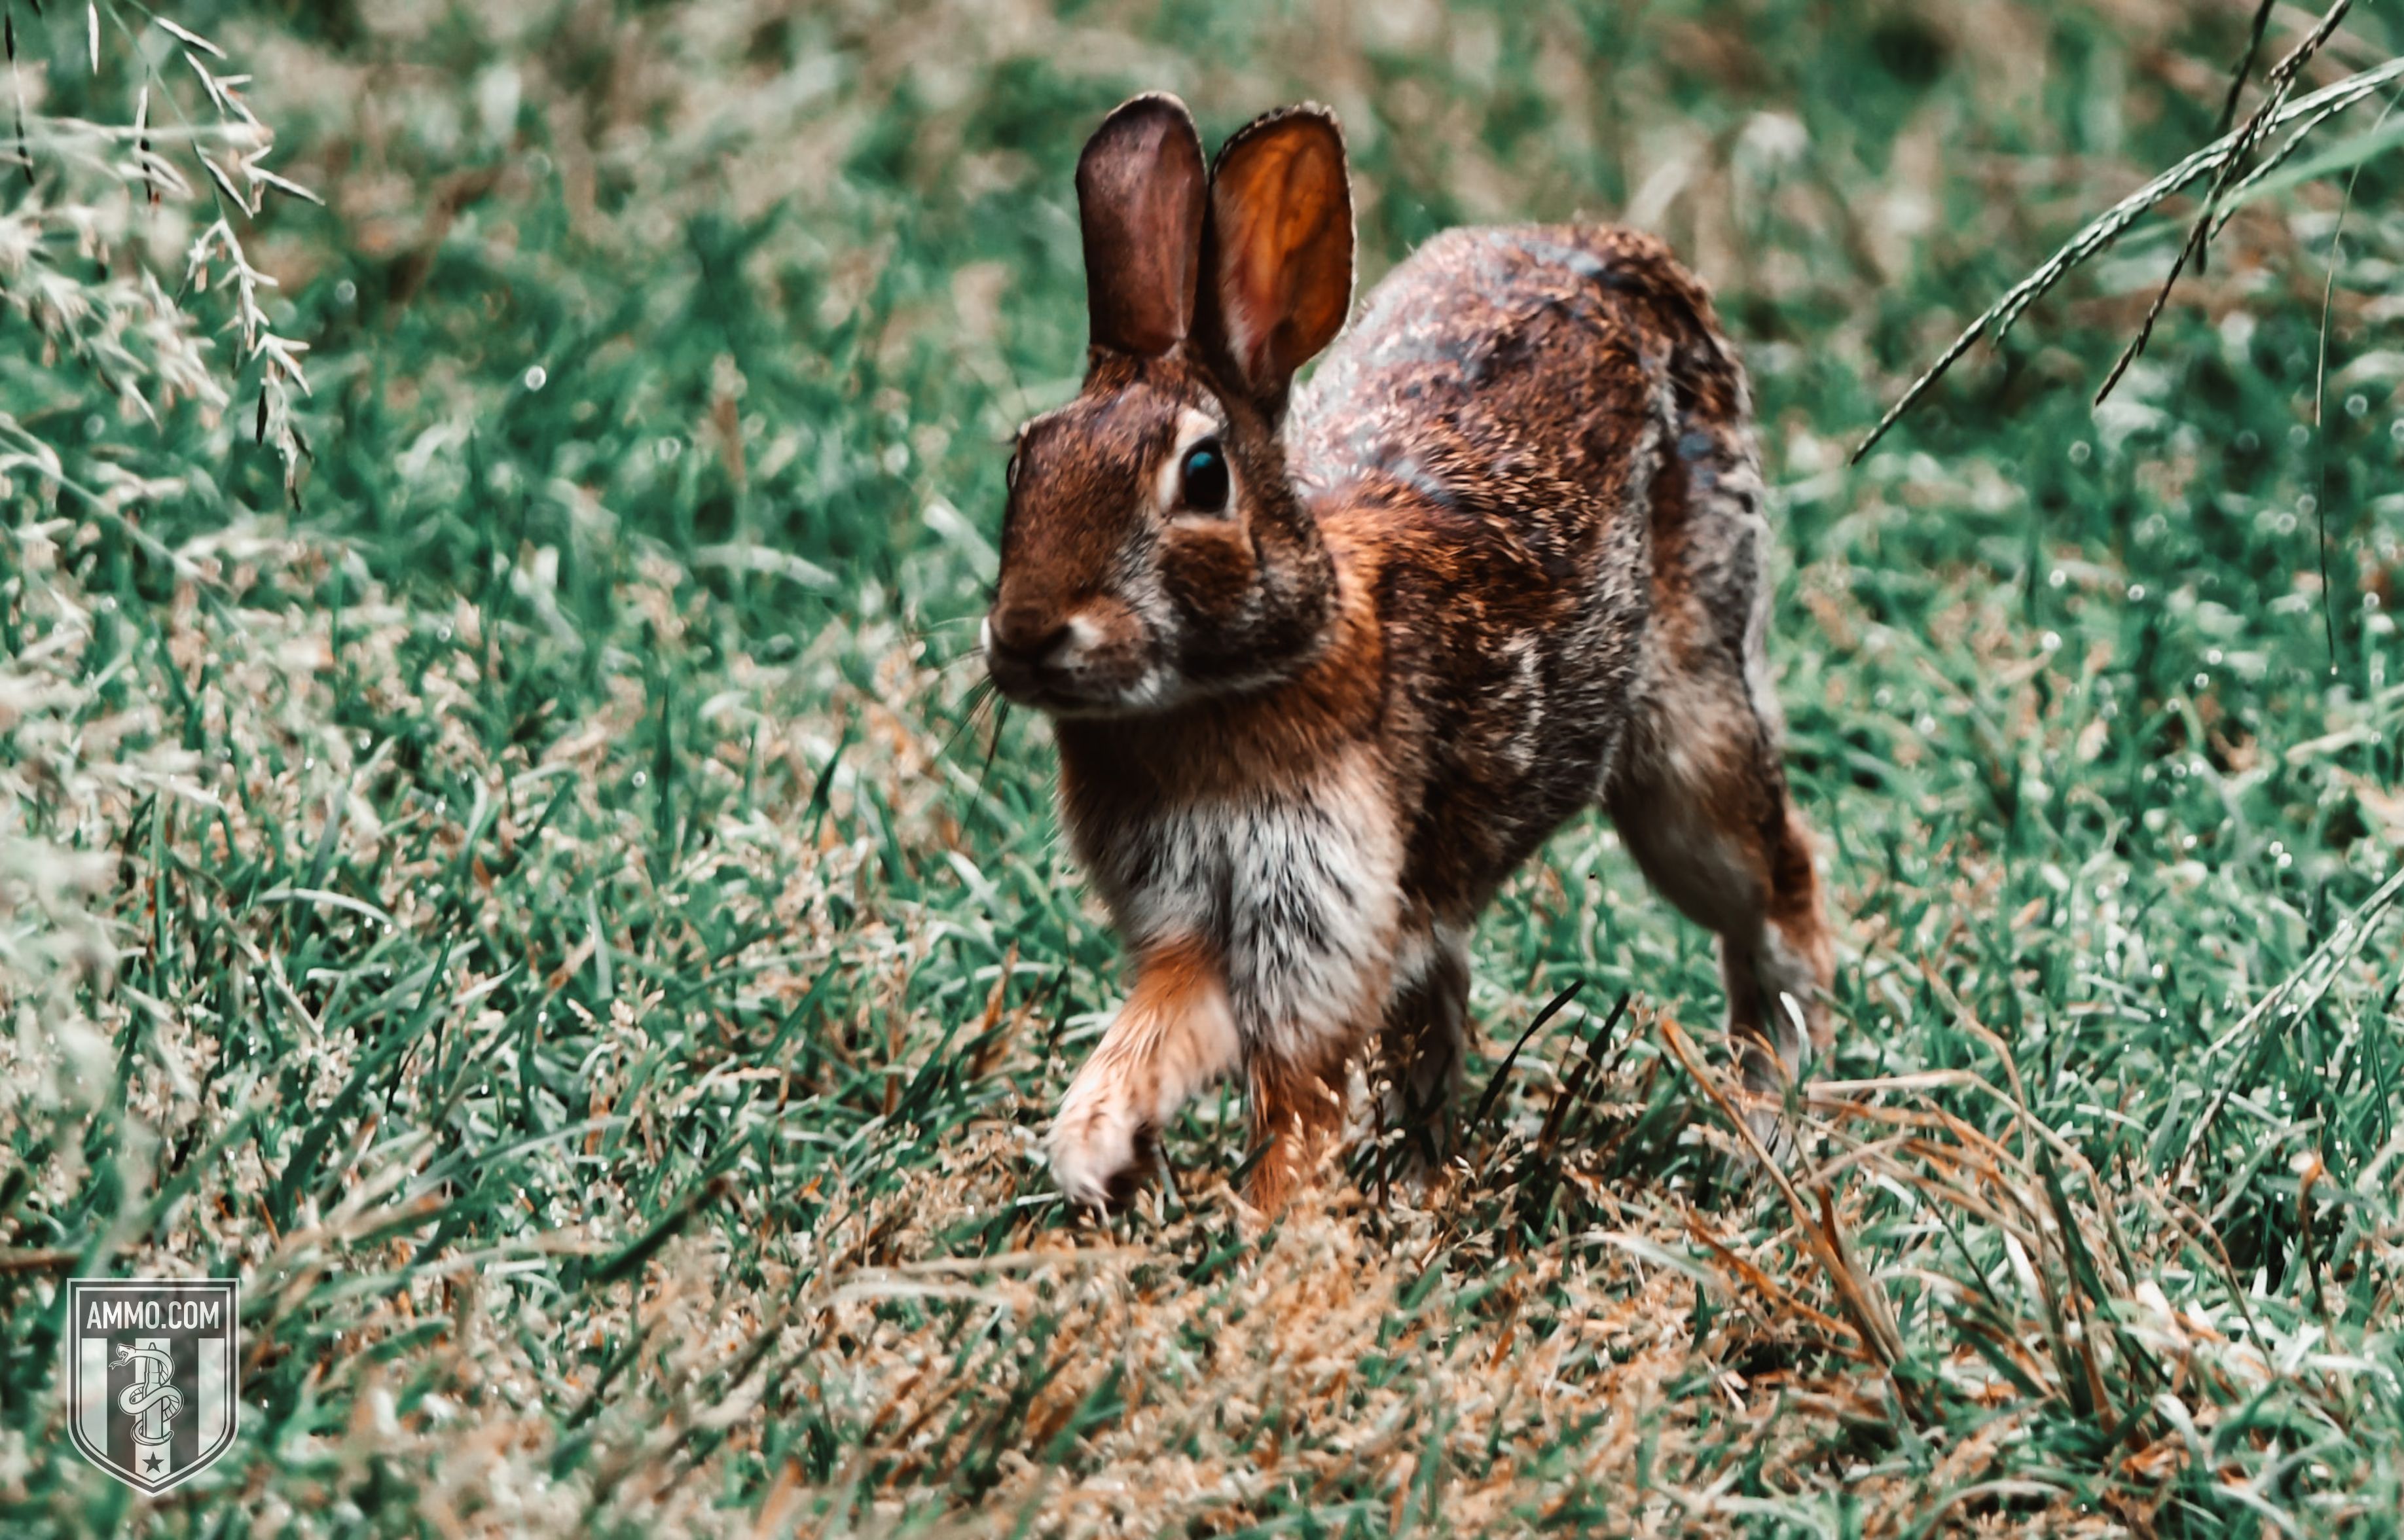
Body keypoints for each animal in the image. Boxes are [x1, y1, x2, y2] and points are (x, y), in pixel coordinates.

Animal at [985, 93, 1827, 1211]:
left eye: (1202, 476)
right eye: (1024, 460)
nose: (1027, 635)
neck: (1236, 680)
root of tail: (1624, 259)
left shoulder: (1317, 916)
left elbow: (1295, 1095)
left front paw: (1277, 1222)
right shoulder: (1196, 917)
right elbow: (1169, 1021)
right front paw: (1097, 1144)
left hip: (1688, 752)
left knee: (1780, 890)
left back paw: (1770, 1124)